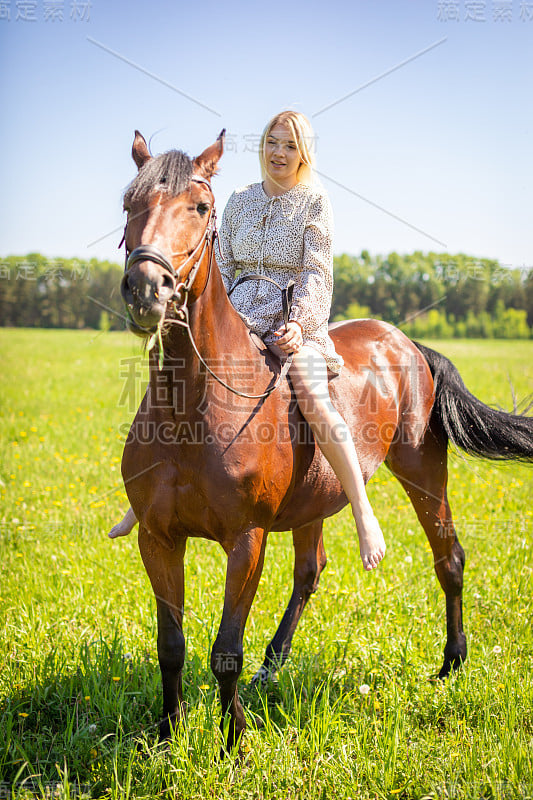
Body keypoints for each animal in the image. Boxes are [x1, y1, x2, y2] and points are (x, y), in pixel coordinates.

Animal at [117, 128, 532, 752]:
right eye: (129, 203)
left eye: (202, 207)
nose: (148, 289)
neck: (192, 411)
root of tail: (410, 345)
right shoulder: (158, 538)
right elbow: (172, 646)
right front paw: (167, 736)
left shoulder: (247, 540)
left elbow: (225, 651)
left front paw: (234, 741)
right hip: (314, 502)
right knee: (309, 572)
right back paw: (273, 667)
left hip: (422, 471)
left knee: (450, 559)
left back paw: (451, 664)